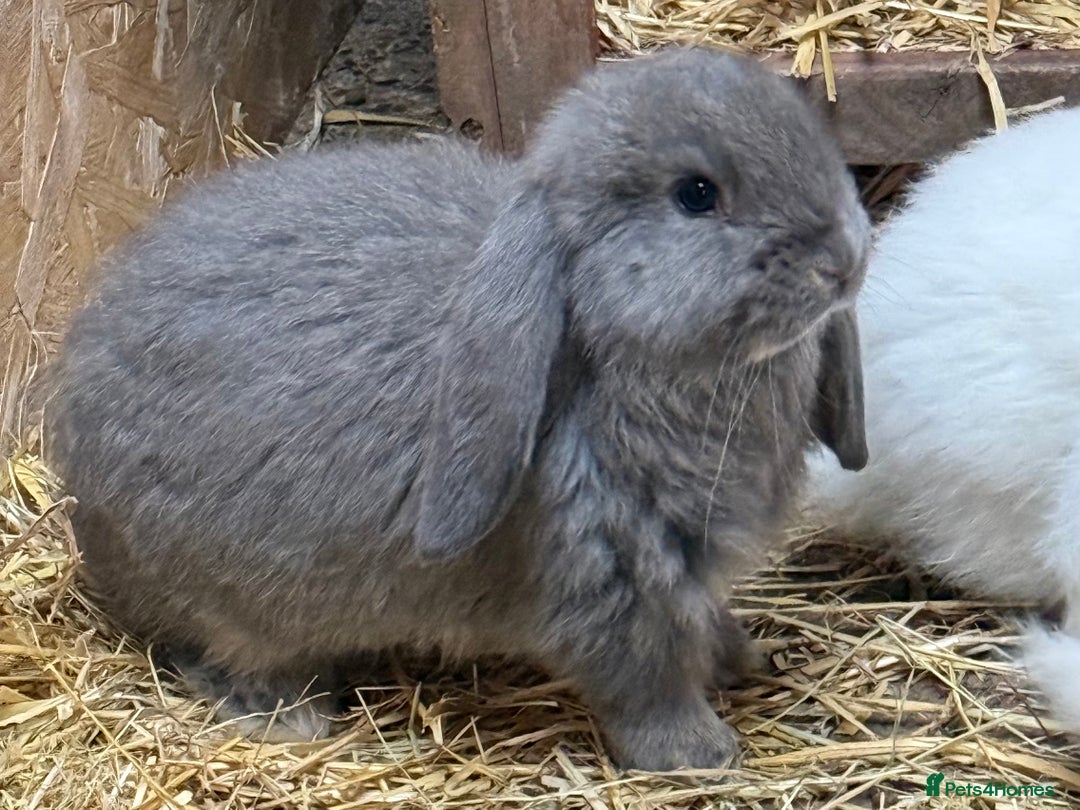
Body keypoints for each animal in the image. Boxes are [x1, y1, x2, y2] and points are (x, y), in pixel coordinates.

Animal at [46, 47, 870, 771]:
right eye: (696, 194)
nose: (844, 261)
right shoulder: (611, 576)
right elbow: (646, 680)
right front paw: (698, 753)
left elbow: (703, 624)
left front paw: (744, 656)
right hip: (225, 604)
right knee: (208, 649)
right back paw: (285, 712)